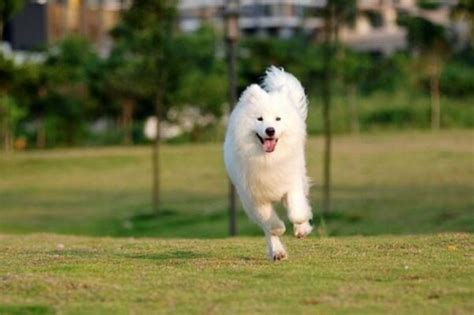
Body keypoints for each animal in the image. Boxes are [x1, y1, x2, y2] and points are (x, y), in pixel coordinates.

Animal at [223, 66, 312, 262]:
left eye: (278, 119)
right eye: (260, 119)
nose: (270, 130)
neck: (269, 159)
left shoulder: (291, 182)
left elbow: (297, 210)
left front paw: (302, 227)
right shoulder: (254, 196)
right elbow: (270, 223)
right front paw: (279, 231)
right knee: (266, 228)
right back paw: (277, 252)